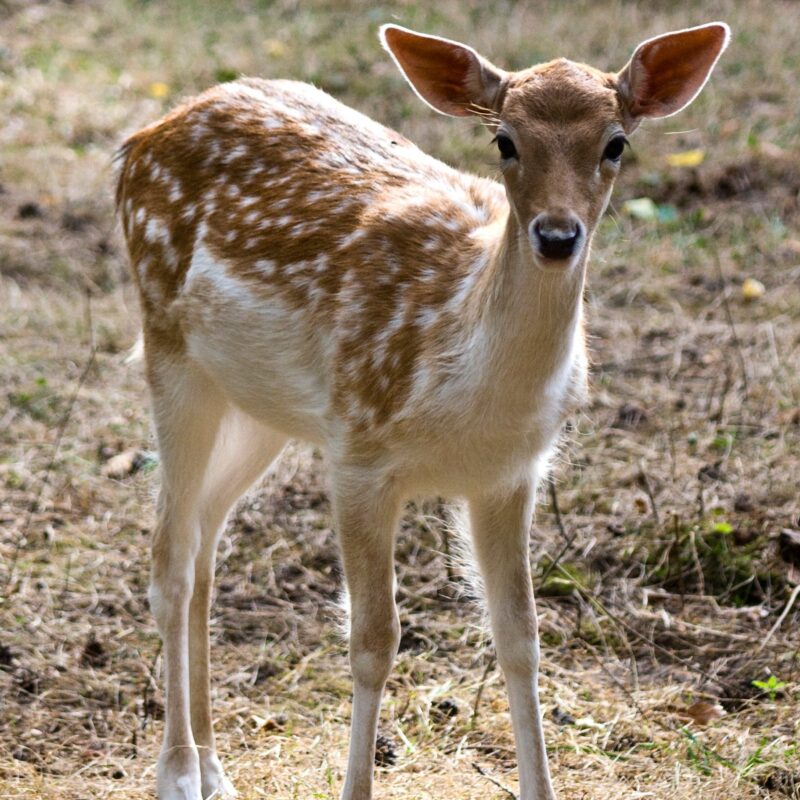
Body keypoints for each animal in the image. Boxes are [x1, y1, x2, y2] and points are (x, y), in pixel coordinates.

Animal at [114, 21, 732, 800]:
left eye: (616, 142)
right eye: (504, 141)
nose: (557, 236)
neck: (468, 391)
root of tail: (140, 140)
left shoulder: (510, 473)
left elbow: (521, 638)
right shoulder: (357, 450)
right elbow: (373, 641)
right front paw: (354, 789)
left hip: (259, 406)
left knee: (203, 544)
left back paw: (217, 770)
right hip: (169, 345)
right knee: (169, 557)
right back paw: (178, 773)